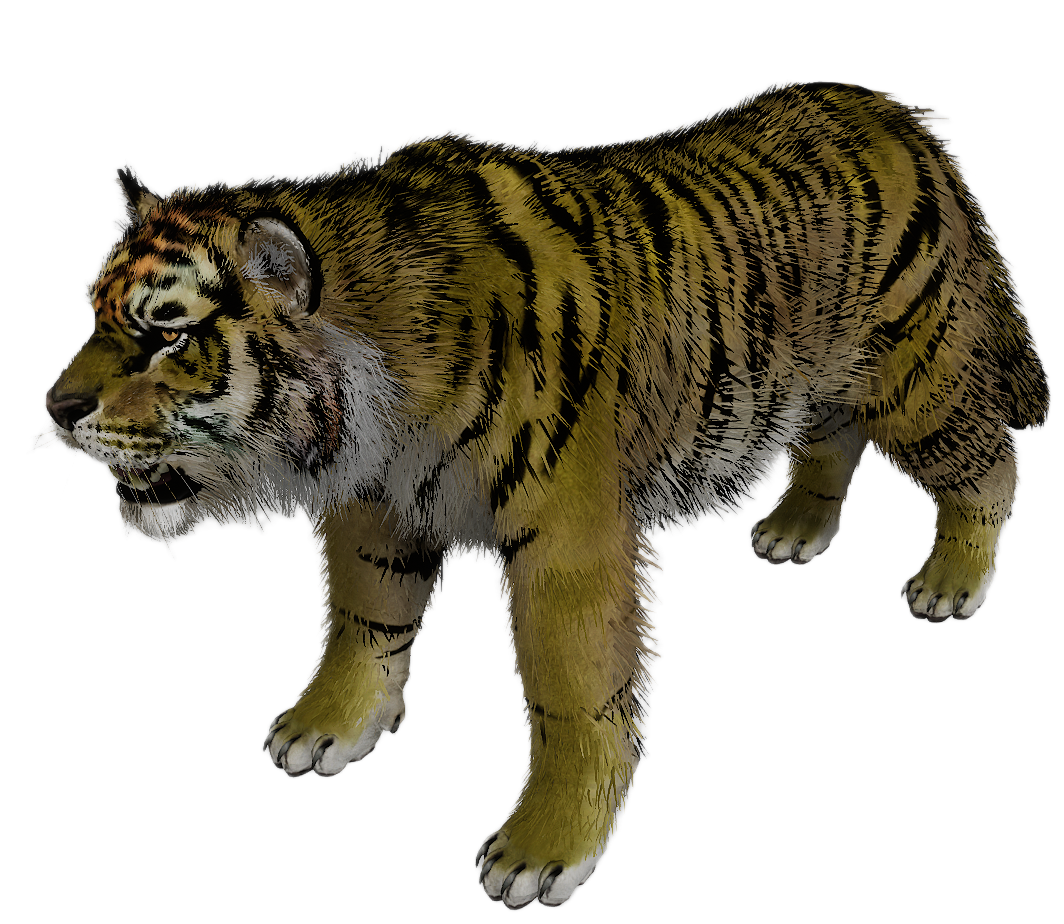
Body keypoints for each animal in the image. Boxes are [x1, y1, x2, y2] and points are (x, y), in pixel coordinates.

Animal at [28, 79, 1050, 909]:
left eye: (165, 335)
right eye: (93, 314)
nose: (56, 407)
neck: (377, 397)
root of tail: (897, 111)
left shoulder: (568, 538)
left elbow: (571, 692)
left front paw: (542, 851)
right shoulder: (378, 504)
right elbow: (362, 619)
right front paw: (330, 727)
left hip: (917, 370)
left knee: (989, 462)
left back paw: (953, 582)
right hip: (818, 374)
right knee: (834, 436)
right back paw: (795, 528)